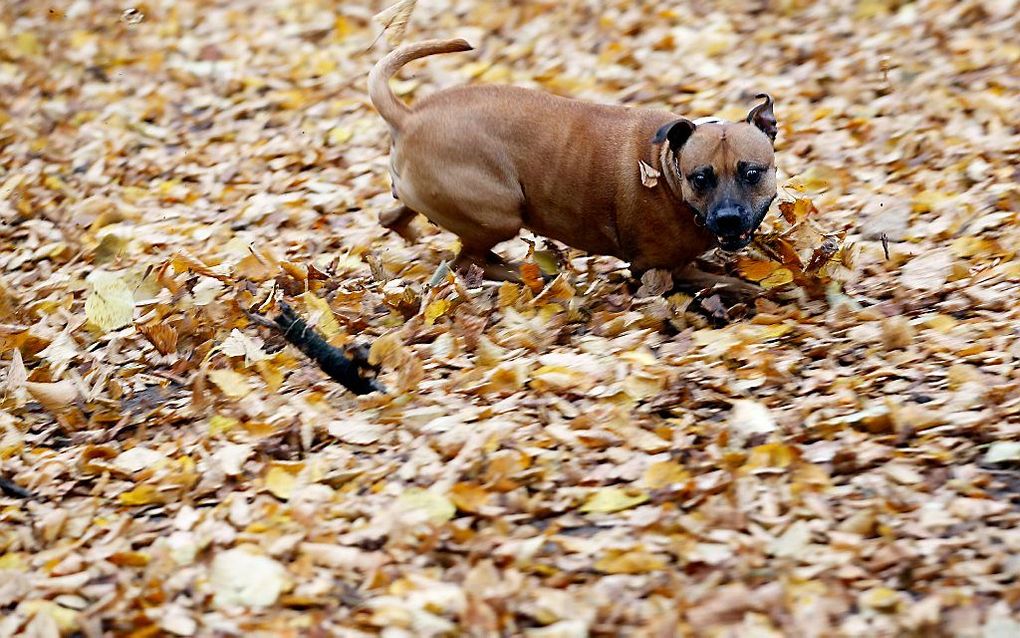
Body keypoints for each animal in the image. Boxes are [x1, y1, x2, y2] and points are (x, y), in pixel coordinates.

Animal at [371, 39, 775, 287]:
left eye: (752, 173)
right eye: (700, 178)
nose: (728, 218)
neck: (665, 169)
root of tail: (408, 117)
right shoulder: (653, 267)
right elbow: (725, 281)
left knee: (395, 218)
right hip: (501, 214)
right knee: (471, 261)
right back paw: (527, 274)